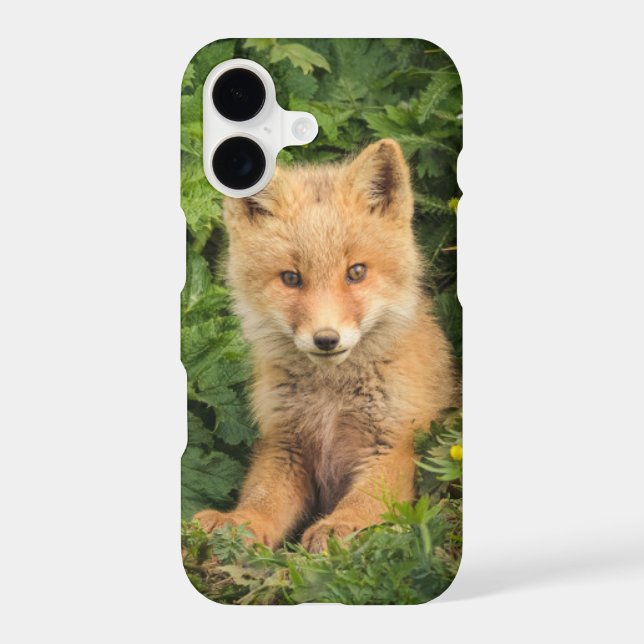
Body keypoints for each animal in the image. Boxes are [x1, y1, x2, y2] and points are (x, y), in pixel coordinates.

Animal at [194, 138, 457, 553]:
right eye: (291, 278)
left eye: (356, 272)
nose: (327, 338)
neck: (332, 398)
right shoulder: (285, 445)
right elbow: (262, 499)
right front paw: (238, 523)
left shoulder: (395, 443)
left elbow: (367, 500)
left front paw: (341, 525)